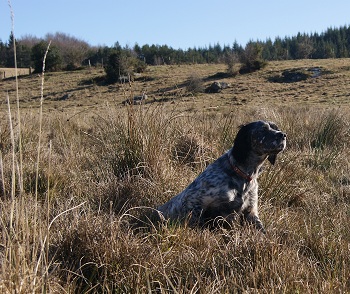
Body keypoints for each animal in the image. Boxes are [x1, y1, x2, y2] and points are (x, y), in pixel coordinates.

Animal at [157, 120, 286, 233]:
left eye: (276, 128)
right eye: (263, 129)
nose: (283, 135)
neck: (242, 174)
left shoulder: (251, 211)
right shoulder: (196, 201)